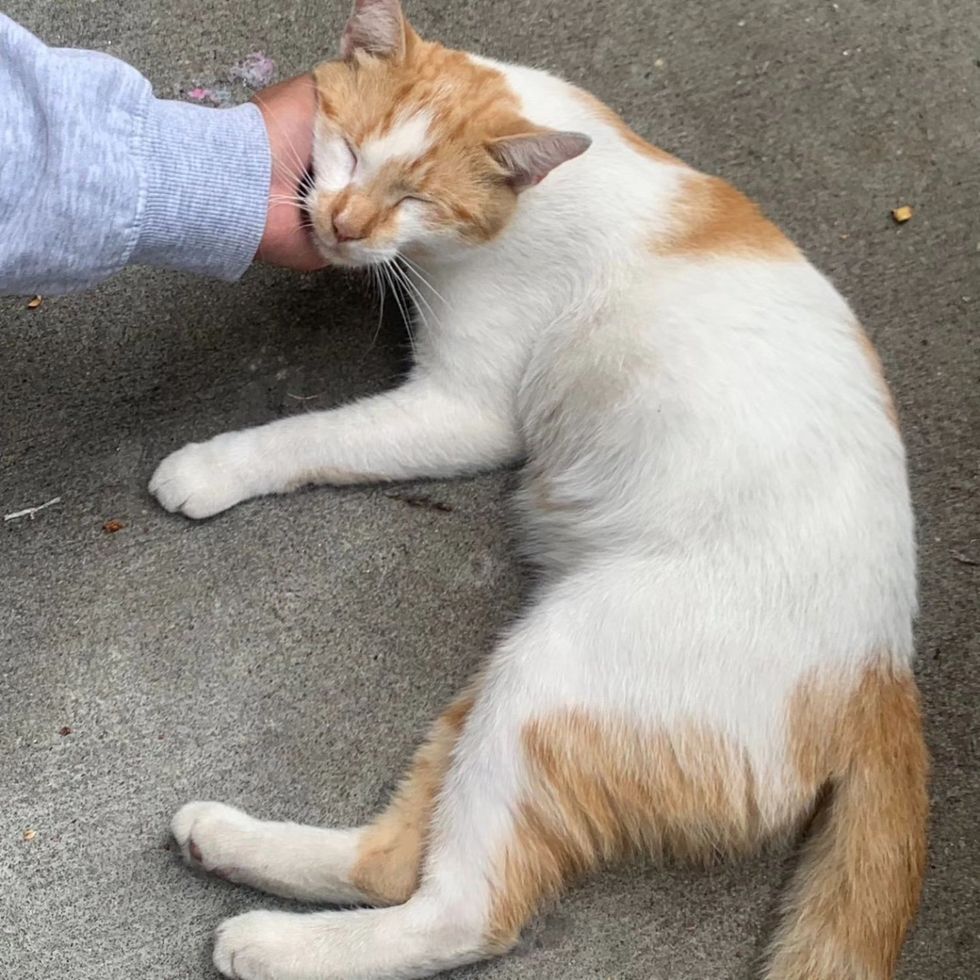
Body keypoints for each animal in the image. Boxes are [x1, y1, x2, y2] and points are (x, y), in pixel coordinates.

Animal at [151, 1, 928, 980]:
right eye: (351, 151)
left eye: (418, 197)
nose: (344, 222)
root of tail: (883, 672)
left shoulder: (465, 410)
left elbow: (314, 435)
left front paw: (215, 465)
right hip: (505, 685)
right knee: (391, 861)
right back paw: (225, 842)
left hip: (553, 669)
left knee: (462, 912)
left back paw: (269, 944)